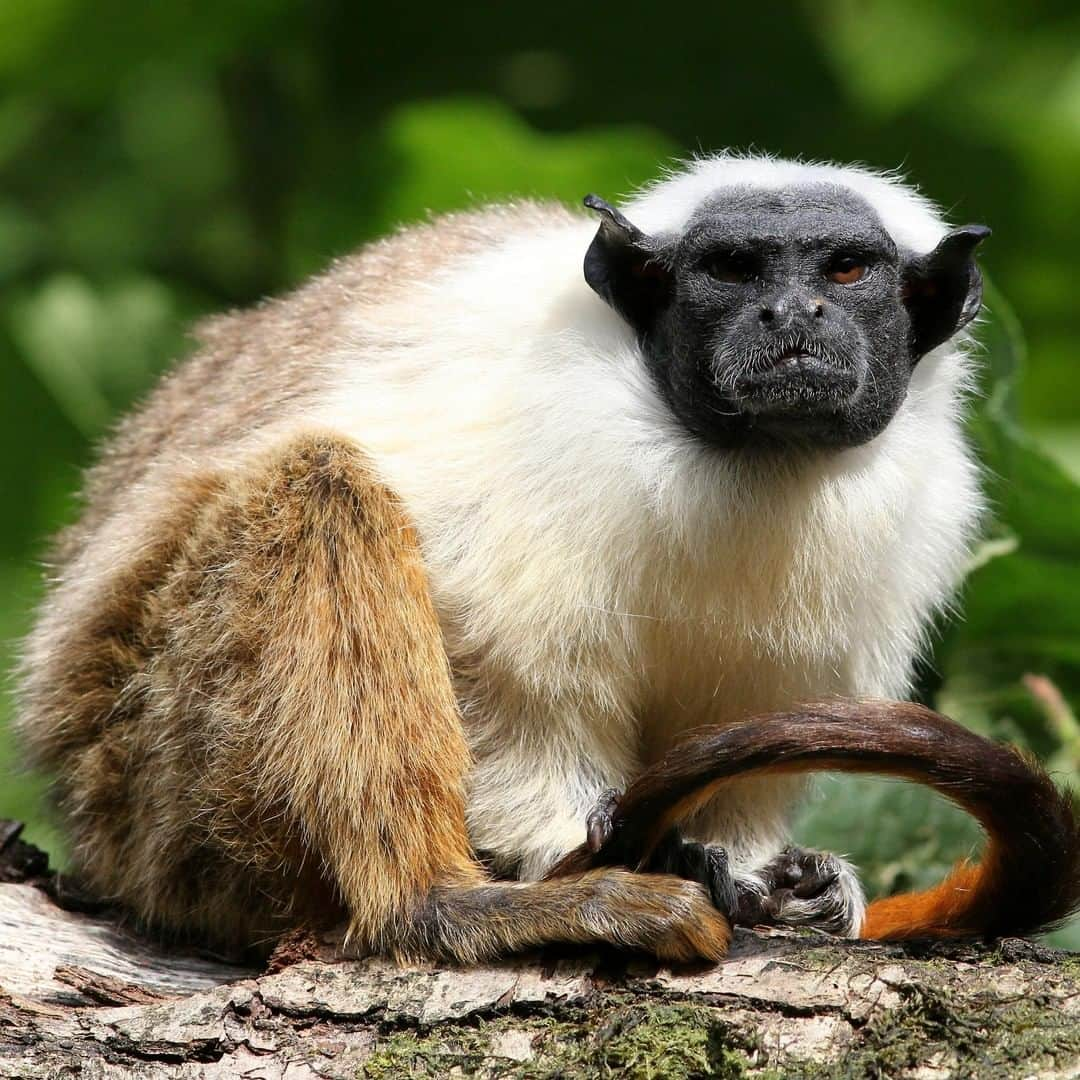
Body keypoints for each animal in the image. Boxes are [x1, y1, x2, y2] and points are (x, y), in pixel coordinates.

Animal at [16, 150, 1080, 963]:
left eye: (847, 273)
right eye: (733, 272)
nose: (792, 318)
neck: (748, 462)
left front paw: (766, 877)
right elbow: (506, 678)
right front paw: (583, 854)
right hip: (150, 775)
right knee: (319, 483)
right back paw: (439, 905)